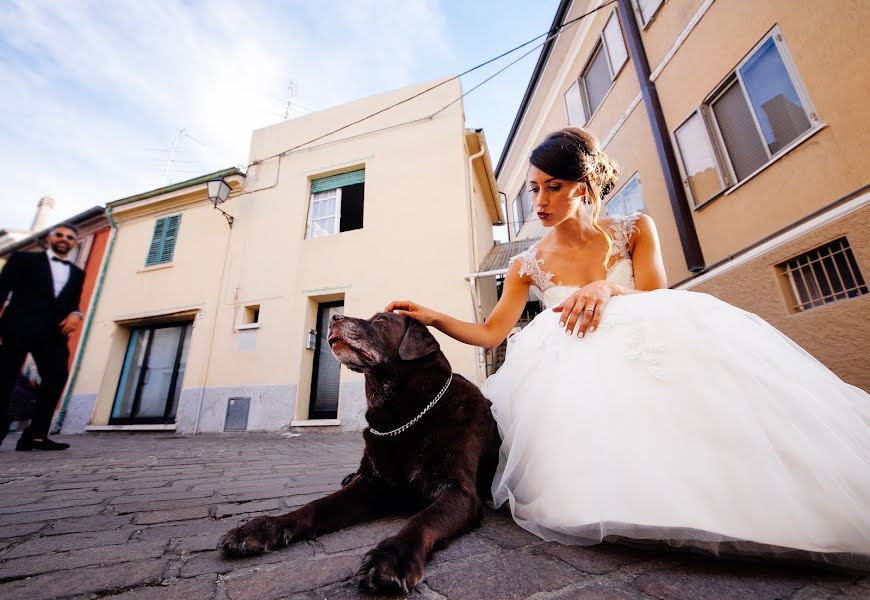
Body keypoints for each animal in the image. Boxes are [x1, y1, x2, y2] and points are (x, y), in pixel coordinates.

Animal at [221, 312, 500, 592]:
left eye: (381, 320)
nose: (334, 317)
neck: (403, 416)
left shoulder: (459, 492)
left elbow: (424, 519)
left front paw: (394, 555)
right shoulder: (371, 486)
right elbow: (316, 505)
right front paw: (264, 527)